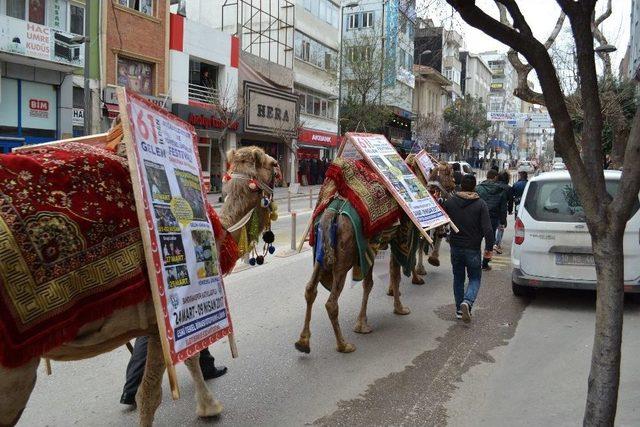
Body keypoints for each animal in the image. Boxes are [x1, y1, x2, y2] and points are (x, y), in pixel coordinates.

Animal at [0, 145, 280, 427]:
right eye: (272, 164)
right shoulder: (159, 321)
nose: (280, 171)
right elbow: (151, 392)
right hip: (15, 371)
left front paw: (208, 406)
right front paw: (208, 406)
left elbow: (185, 359)